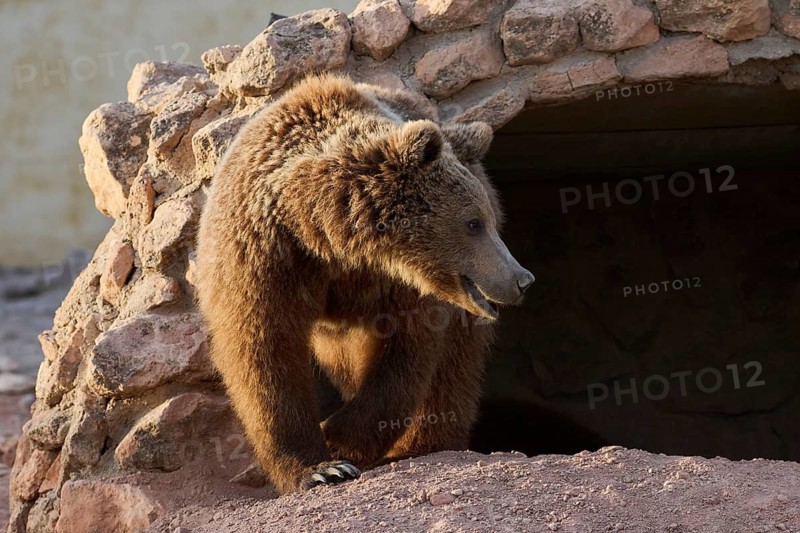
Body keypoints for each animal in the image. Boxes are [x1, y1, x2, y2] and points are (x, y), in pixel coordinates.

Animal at [195, 74, 534, 494]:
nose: (522, 279)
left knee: (453, 368)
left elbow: (405, 355)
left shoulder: (399, 286)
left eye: (483, 219)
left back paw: (426, 443)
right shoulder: (263, 257)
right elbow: (265, 354)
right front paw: (319, 467)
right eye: (473, 223)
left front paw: (340, 436)